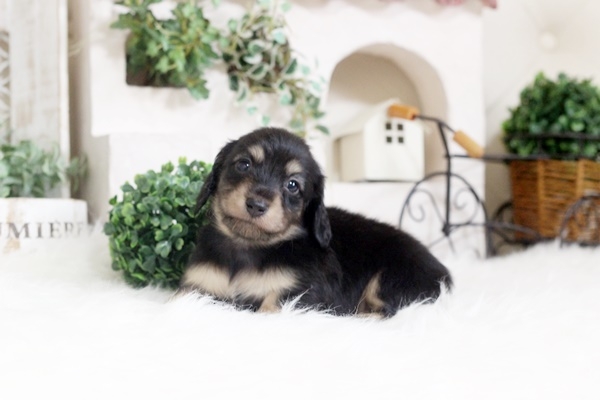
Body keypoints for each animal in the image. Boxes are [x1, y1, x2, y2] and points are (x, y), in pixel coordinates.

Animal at [179, 127, 452, 317]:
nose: (256, 205)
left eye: (293, 185)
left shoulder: (301, 293)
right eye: (243, 164)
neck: (248, 248)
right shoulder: (197, 286)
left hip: (390, 279)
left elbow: (270, 306)